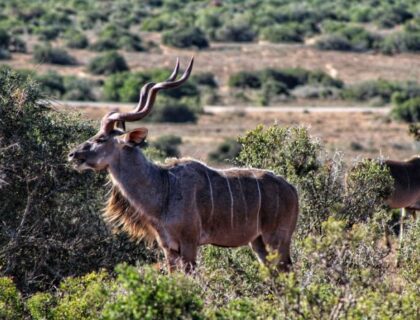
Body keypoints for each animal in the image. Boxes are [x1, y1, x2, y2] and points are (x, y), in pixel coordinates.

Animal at [68, 58, 298, 272]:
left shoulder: (189, 243)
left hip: (276, 238)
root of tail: (291, 188)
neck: (163, 188)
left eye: (101, 139)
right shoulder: (168, 248)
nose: (72, 155)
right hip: (257, 242)